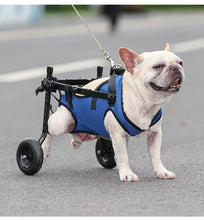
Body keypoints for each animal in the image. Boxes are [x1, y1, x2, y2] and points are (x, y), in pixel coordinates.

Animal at [41, 43, 185, 181]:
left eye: (180, 62)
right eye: (157, 66)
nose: (175, 68)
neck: (144, 102)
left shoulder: (155, 134)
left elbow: (156, 155)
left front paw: (162, 171)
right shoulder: (119, 136)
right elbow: (123, 156)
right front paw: (127, 174)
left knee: (80, 135)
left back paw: (77, 141)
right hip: (61, 123)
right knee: (48, 130)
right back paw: (44, 148)